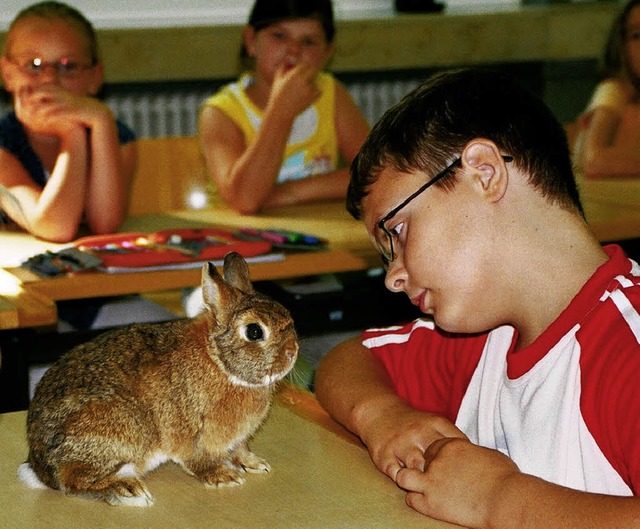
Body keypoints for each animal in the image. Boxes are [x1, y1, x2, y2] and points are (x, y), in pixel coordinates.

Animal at [16, 252, 298, 508]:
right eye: (254, 332)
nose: (293, 351)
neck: (219, 361)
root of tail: (40, 467)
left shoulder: (238, 439)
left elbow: (240, 451)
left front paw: (255, 464)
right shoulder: (193, 434)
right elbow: (200, 461)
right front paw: (224, 477)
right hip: (116, 429)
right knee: (72, 482)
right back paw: (127, 491)